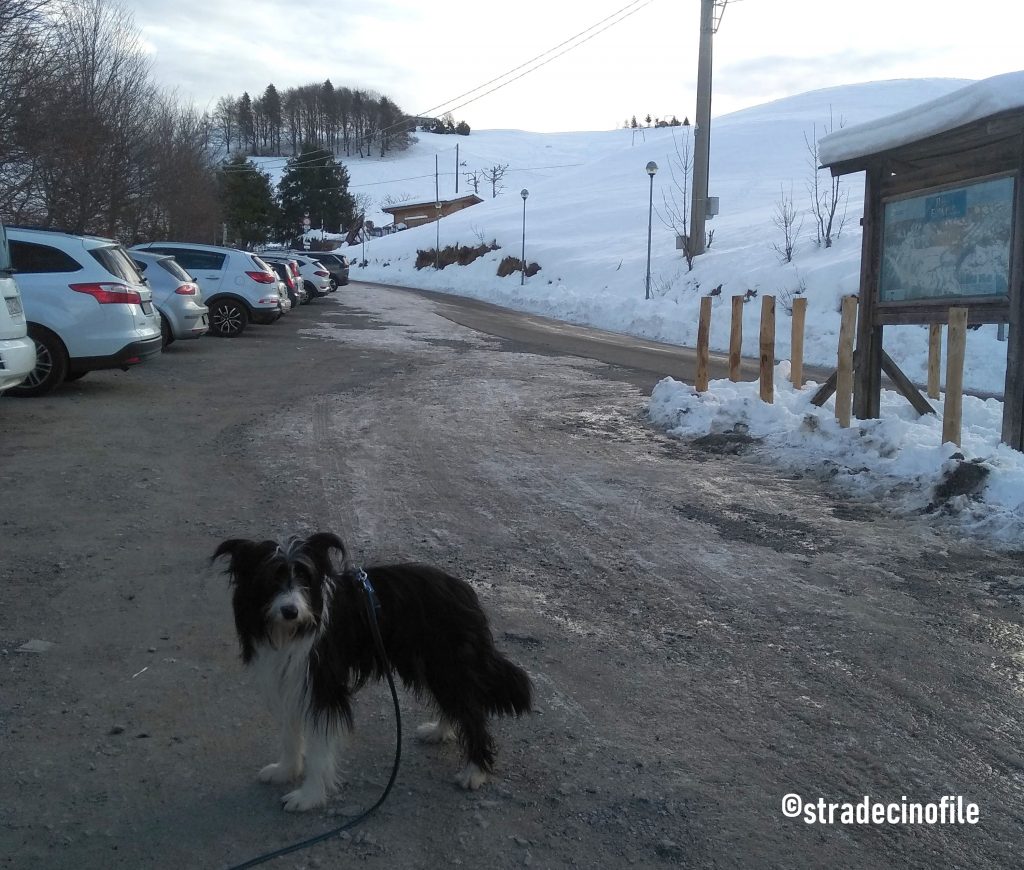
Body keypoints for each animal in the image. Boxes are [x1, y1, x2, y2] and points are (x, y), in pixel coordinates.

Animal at [211, 532, 532, 810]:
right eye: (271, 579)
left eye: (304, 578)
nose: (290, 611)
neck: (292, 630)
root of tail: (465, 591)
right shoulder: (290, 679)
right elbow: (290, 733)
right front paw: (285, 770)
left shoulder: (323, 686)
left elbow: (319, 748)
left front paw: (309, 796)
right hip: (429, 664)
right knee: (456, 704)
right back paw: (440, 731)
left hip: (447, 663)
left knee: (471, 712)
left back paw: (474, 771)